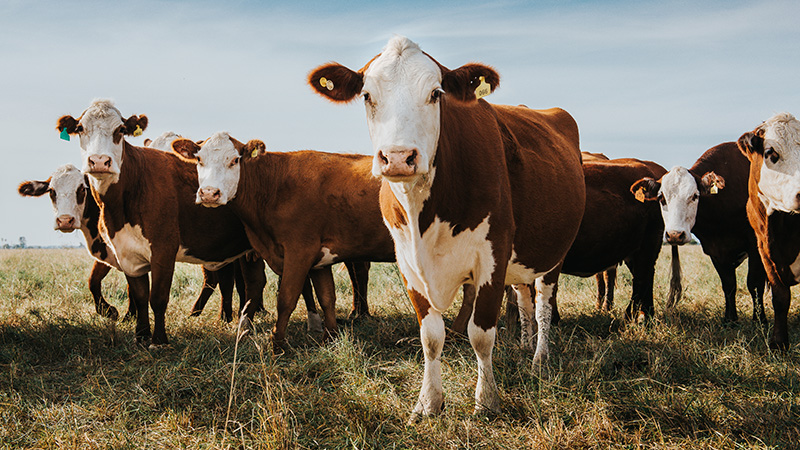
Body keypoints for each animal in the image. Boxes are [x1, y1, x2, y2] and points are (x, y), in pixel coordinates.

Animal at [57, 99, 267, 347]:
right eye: (80, 128)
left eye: (120, 130)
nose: (99, 161)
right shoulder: (127, 253)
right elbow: (139, 296)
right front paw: (140, 335)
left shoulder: (163, 250)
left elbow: (157, 298)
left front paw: (159, 340)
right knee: (251, 282)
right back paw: (243, 323)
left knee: (251, 283)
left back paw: (243, 324)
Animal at [170, 132, 396, 349]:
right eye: (199, 160)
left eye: (234, 160)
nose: (209, 193)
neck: (274, 186)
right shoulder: (319, 260)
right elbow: (326, 297)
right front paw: (329, 339)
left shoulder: (300, 251)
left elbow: (286, 299)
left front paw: (277, 345)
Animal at [309, 36, 586, 419]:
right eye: (366, 95)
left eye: (436, 93)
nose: (398, 157)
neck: (424, 215)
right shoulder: (408, 263)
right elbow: (431, 336)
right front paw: (428, 402)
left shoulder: (493, 256)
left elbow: (481, 334)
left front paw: (486, 400)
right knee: (524, 299)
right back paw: (523, 345)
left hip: (553, 254)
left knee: (544, 303)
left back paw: (539, 358)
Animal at [631, 142, 767, 324]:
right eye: (661, 198)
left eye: (695, 196)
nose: (675, 235)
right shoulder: (716, 250)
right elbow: (729, 285)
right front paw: (730, 320)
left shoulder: (756, 246)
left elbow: (755, 284)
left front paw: (760, 321)